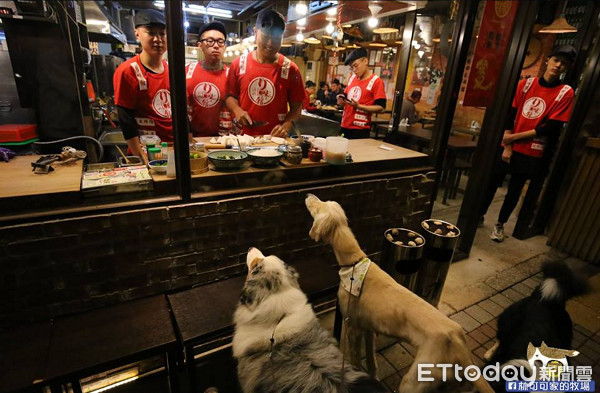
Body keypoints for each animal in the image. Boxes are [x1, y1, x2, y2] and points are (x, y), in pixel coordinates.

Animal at [304, 194, 492, 392]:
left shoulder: (352, 327)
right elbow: (371, 361)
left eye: (319, 205)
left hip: (414, 381)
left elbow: (355, 361)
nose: (309, 195)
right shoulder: (368, 328)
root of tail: (459, 342)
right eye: (325, 202)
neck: (354, 262)